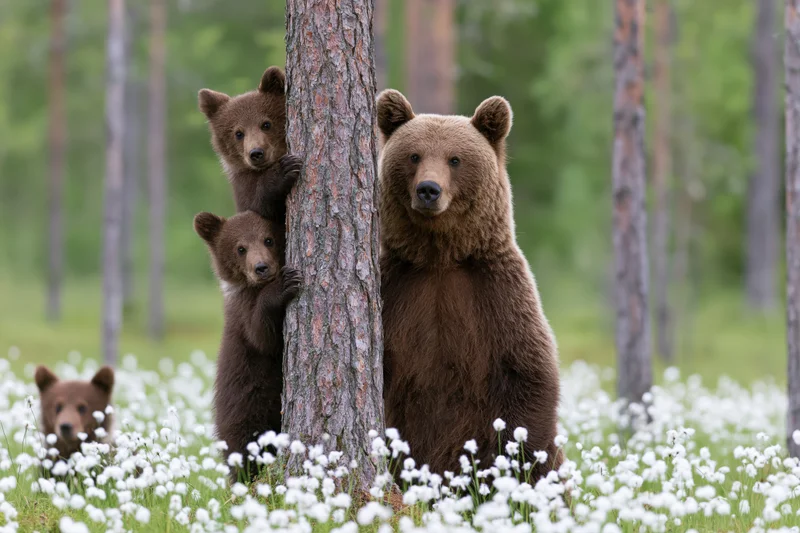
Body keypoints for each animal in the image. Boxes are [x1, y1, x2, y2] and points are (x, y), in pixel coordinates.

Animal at [194, 209, 301, 482]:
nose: (261, 267)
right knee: (244, 452)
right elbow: (263, 336)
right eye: (240, 248)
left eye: (268, 239)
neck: (255, 288)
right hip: (245, 411)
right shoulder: (243, 316)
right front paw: (283, 285)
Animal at [198, 66, 301, 223]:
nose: (256, 153)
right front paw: (282, 170)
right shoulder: (243, 184)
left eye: (266, 124)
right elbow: (256, 206)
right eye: (238, 133)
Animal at [376, 89, 563, 480]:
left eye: (455, 159)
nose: (428, 190)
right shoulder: (395, 288)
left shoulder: (497, 293)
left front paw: (520, 463)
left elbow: (528, 371)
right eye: (414, 155)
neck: (440, 258)